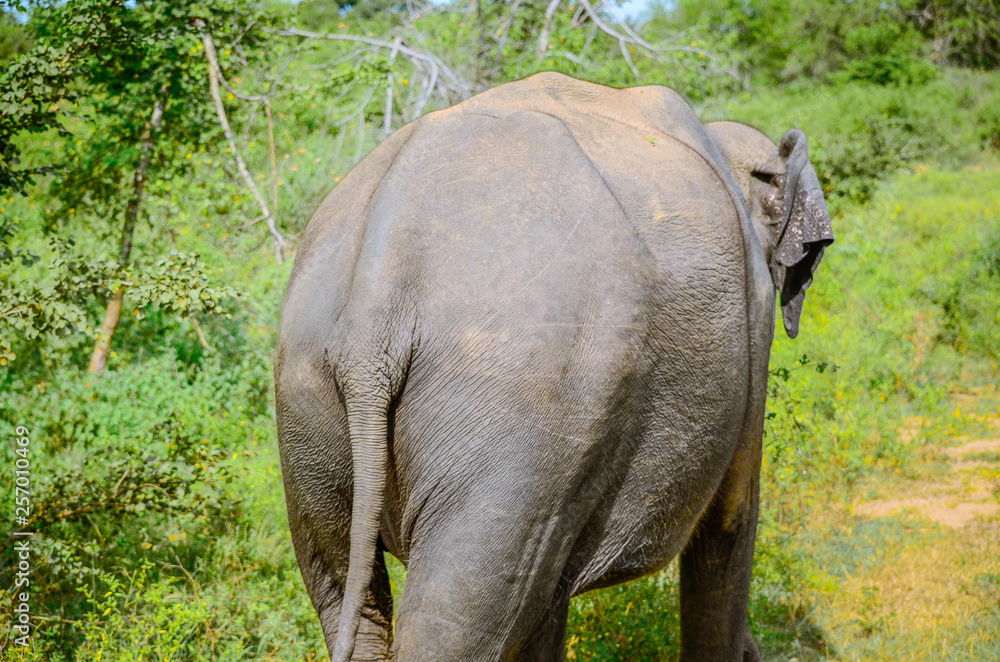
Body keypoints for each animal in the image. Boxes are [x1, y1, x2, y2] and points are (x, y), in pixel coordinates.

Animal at [274, 71, 833, 662]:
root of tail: (378, 289)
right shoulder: (753, 320)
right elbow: (732, 517)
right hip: (524, 406)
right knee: (460, 615)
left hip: (307, 396)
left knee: (344, 587)